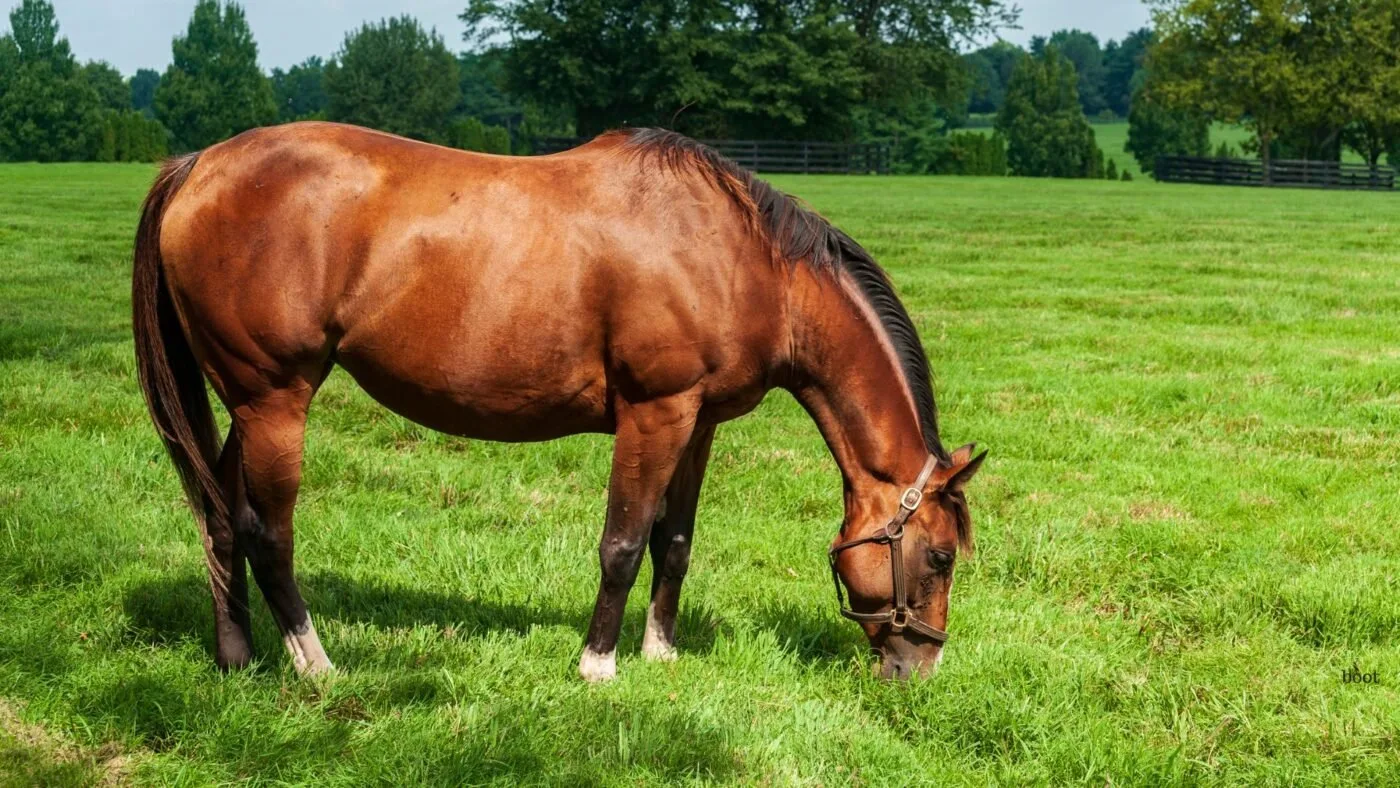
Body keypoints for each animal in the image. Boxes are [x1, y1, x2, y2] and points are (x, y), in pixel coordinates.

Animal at [132, 122, 985, 682]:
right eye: (940, 555)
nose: (920, 669)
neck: (747, 262)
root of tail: (199, 164)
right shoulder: (654, 413)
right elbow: (625, 541)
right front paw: (597, 664)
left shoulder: (698, 422)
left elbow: (676, 541)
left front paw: (661, 652)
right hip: (275, 400)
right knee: (267, 532)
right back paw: (314, 663)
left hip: (247, 407)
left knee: (219, 515)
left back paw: (236, 657)